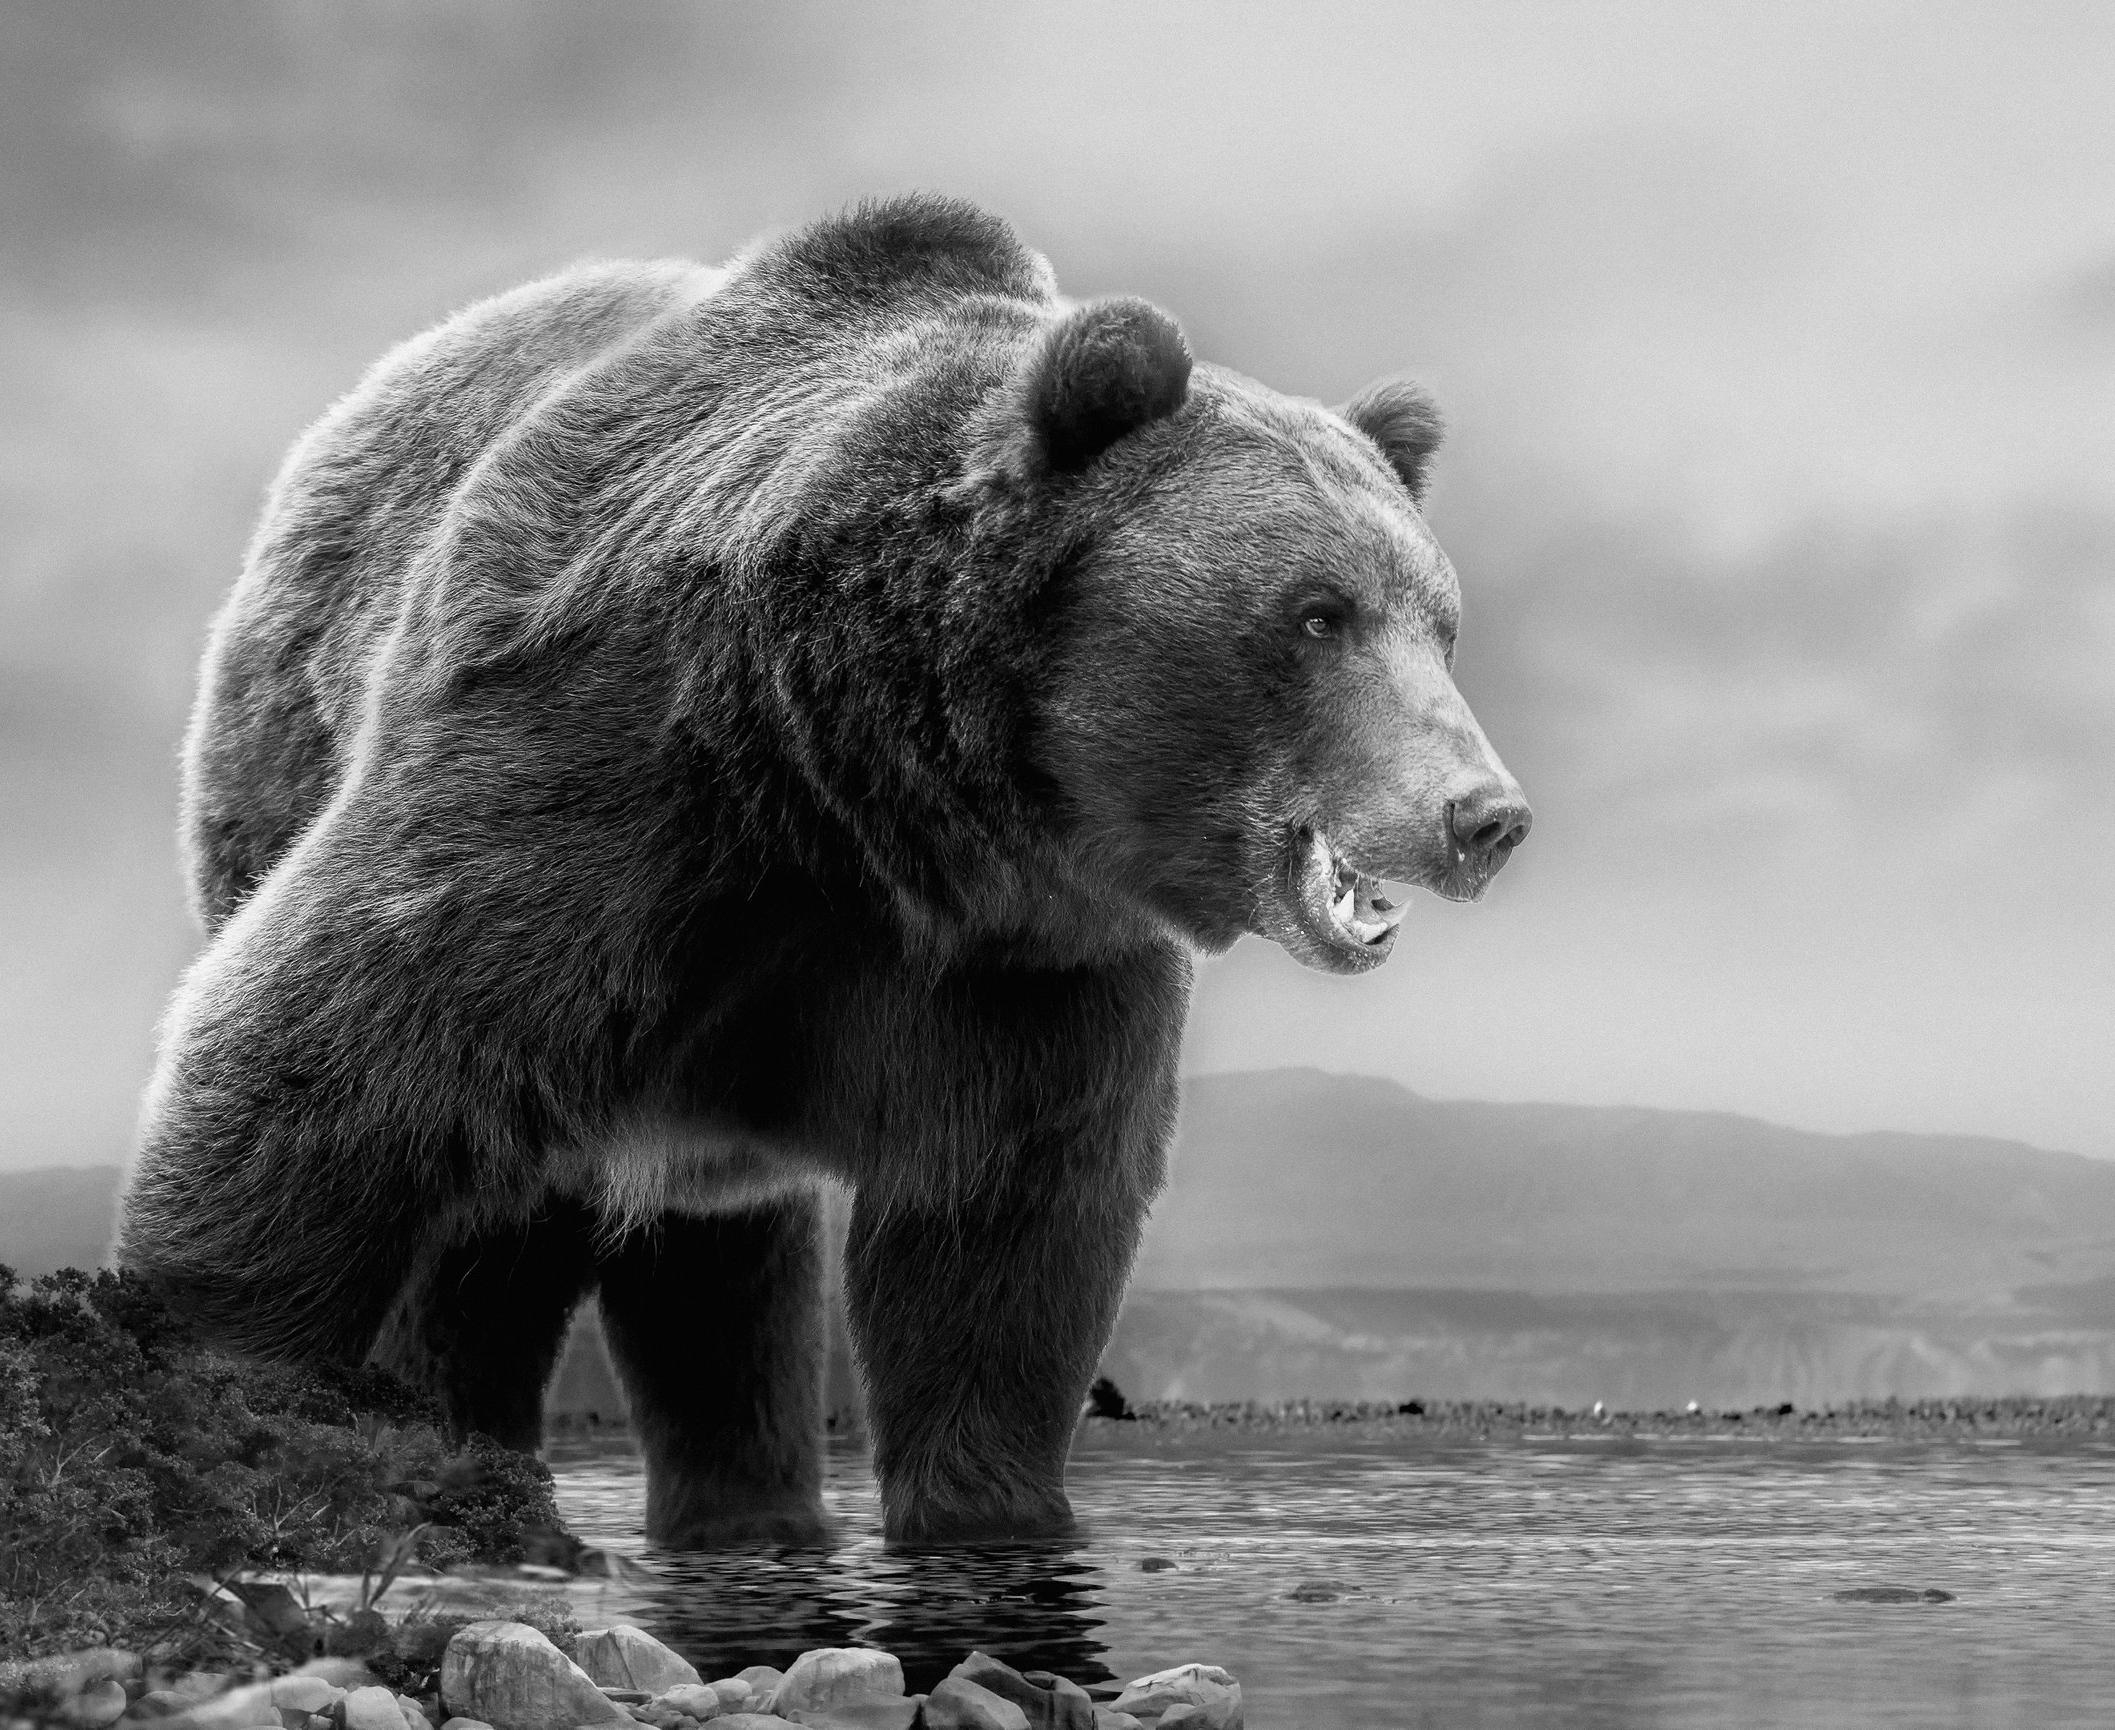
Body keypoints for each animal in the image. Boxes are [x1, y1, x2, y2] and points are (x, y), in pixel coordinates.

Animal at [120, 195, 1529, 1546]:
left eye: (1441, 623)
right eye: (1316, 613)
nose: (1484, 813)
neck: (872, 795)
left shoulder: (1021, 965)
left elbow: (1001, 1241)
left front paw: (990, 1507)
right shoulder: (594, 776)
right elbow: (332, 1059)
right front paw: (230, 1382)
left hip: (701, 1138)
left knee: (719, 1277)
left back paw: (750, 1509)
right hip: (286, 767)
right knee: (492, 1243)